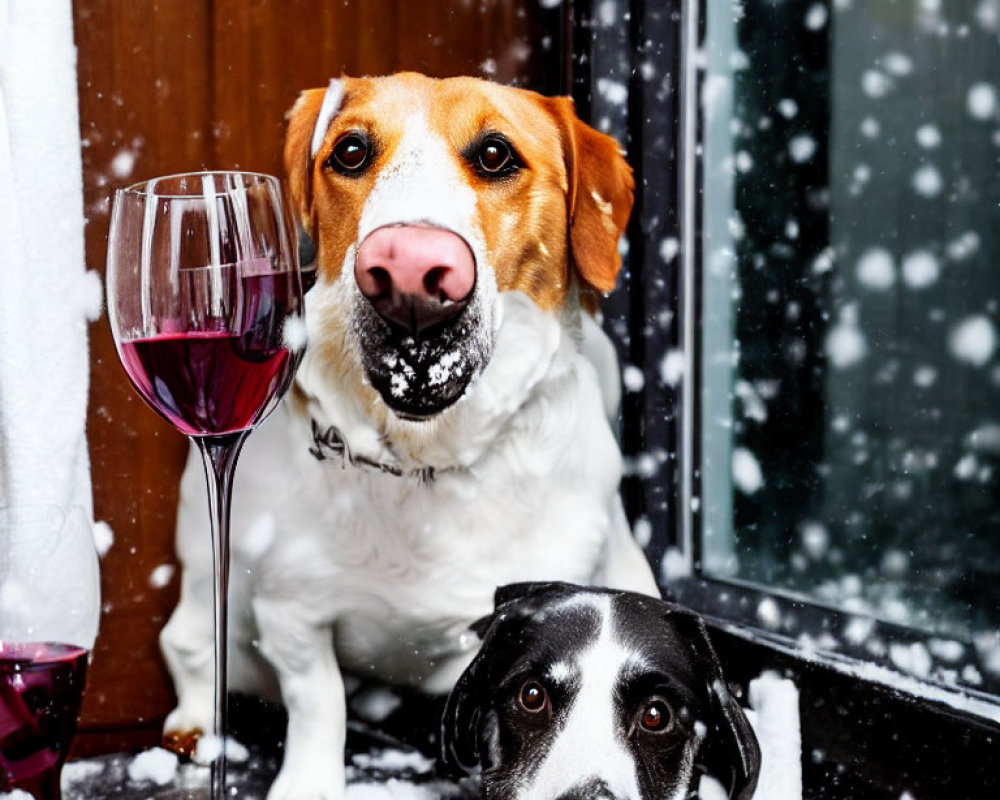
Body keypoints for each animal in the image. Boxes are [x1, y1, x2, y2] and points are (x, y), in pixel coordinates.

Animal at [160, 73, 660, 800]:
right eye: (350, 151)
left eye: (495, 154)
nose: (406, 267)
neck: (427, 461)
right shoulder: (292, 610)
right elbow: (319, 700)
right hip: (206, 566)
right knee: (190, 642)